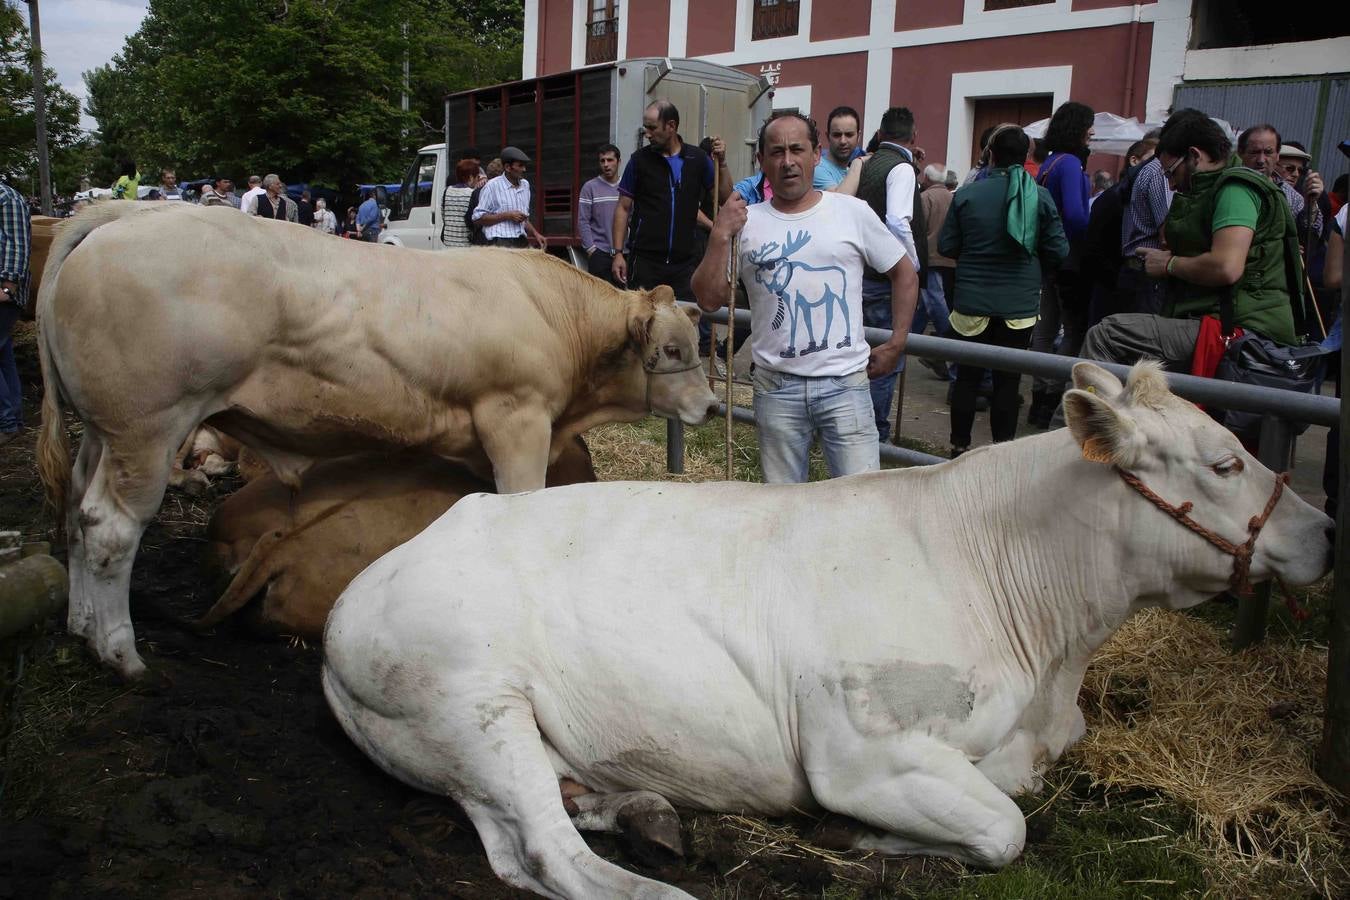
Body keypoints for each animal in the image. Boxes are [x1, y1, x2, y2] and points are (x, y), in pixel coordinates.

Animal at [321, 361, 1333, 895]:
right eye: (1225, 461)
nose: (1328, 531)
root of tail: (348, 600)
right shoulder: (862, 751)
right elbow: (1005, 829)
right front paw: (863, 840)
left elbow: (1011, 796)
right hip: (474, 703)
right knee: (550, 857)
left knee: (528, 845)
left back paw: (636, 808)